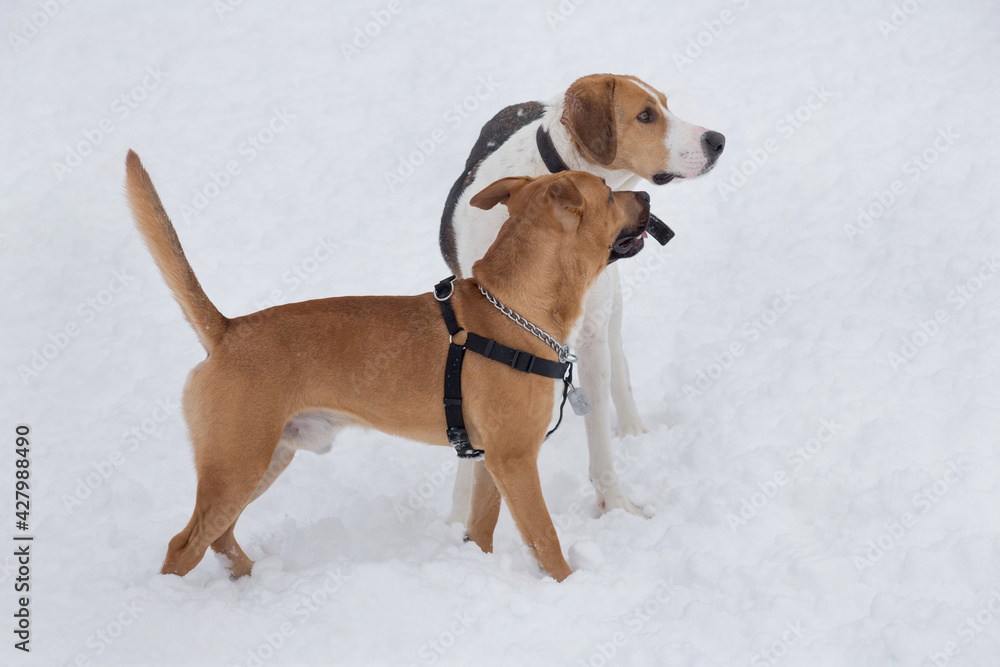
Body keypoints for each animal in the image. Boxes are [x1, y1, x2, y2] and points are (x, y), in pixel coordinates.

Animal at [125, 149, 652, 580]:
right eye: (609, 193)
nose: (646, 195)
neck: (514, 308)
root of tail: (227, 329)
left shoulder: (492, 460)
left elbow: (482, 528)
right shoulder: (516, 459)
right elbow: (544, 537)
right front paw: (568, 584)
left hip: (264, 459)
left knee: (219, 538)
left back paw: (253, 579)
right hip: (236, 466)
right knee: (184, 546)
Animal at [440, 74, 728, 520]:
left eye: (666, 104)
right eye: (646, 115)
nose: (717, 140)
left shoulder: (591, 335)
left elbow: (600, 440)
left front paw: (617, 508)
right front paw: (459, 518)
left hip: (610, 310)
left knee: (619, 364)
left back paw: (631, 428)